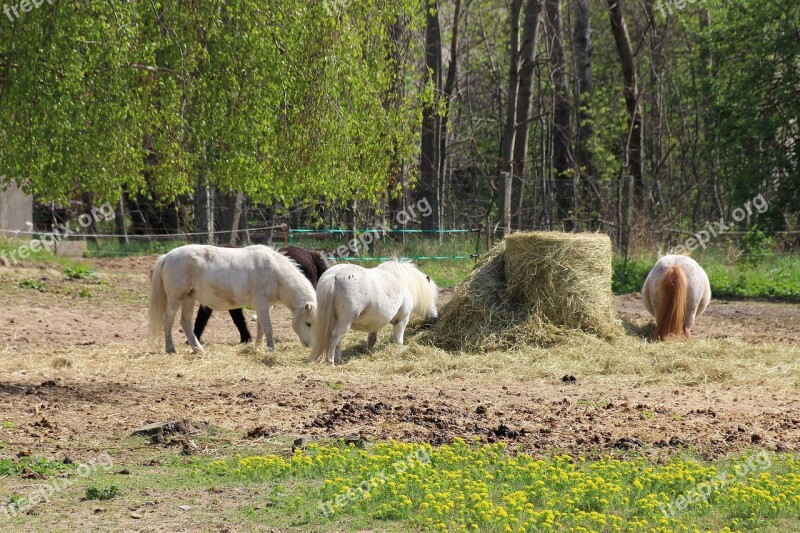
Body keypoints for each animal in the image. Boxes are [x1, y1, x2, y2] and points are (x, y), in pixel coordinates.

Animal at [149, 244, 316, 354]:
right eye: (308, 323)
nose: (310, 345)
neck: (274, 272)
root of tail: (166, 257)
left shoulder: (265, 306)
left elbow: (261, 327)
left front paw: (258, 346)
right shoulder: (261, 303)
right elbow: (268, 328)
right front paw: (271, 349)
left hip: (189, 299)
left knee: (186, 323)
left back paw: (198, 349)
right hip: (175, 299)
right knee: (168, 321)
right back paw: (170, 349)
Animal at [310, 260, 438, 364]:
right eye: (433, 296)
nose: (435, 317)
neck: (403, 283)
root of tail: (334, 275)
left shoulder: (374, 323)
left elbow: (372, 340)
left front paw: (369, 352)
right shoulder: (402, 320)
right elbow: (399, 340)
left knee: (338, 340)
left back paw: (339, 360)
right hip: (345, 322)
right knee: (335, 337)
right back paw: (330, 361)